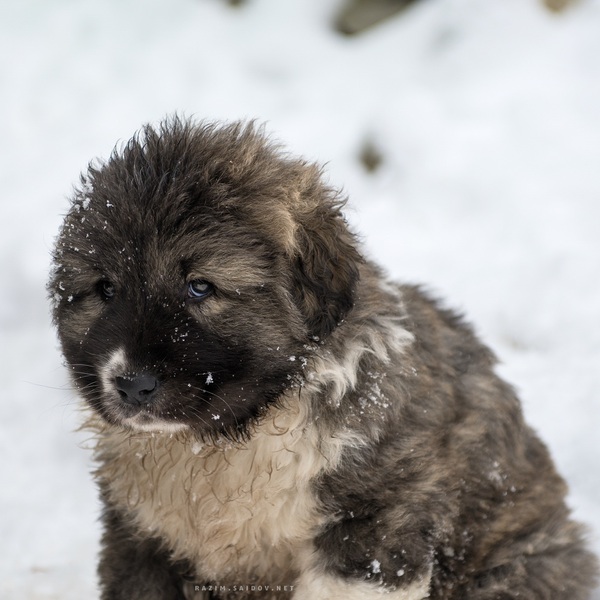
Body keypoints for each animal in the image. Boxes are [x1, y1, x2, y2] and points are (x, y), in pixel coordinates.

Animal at [49, 118, 596, 600]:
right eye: (105, 289)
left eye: (200, 287)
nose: (130, 384)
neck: (236, 435)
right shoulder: (142, 538)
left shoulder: (372, 531)